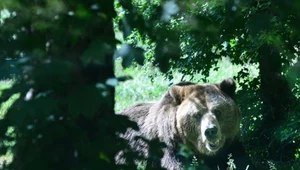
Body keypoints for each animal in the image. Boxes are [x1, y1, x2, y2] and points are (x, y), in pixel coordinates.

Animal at [116, 78, 255, 170]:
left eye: (217, 111)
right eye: (197, 114)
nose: (210, 130)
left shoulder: (231, 146)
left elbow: (243, 162)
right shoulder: (171, 149)